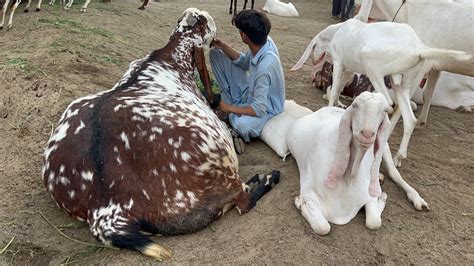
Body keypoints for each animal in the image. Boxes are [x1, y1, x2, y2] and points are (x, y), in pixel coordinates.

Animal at [42, 7, 280, 260]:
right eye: (204, 21)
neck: (170, 58)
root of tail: (105, 212)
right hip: (219, 173)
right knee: (243, 201)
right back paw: (267, 178)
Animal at [286, 92, 428, 235]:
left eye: (385, 110)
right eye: (355, 105)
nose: (367, 134)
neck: (348, 178)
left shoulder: (368, 193)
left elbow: (374, 222)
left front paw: (382, 198)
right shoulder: (309, 192)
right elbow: (323, 227)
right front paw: (300, 203)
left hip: (384, 146)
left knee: (394, 173)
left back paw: (417, 199)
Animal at [290, 18, 472, 165]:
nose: (314, 61)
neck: (340, 30)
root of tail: (418, 48)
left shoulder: (340, 63)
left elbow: (334, 90)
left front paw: (330, 109)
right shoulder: (349, 70)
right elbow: (339, 88)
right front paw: (338, 106)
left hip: (373, 68)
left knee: (389, 105)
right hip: (402, 85)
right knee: (409, 119)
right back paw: (398, 156)